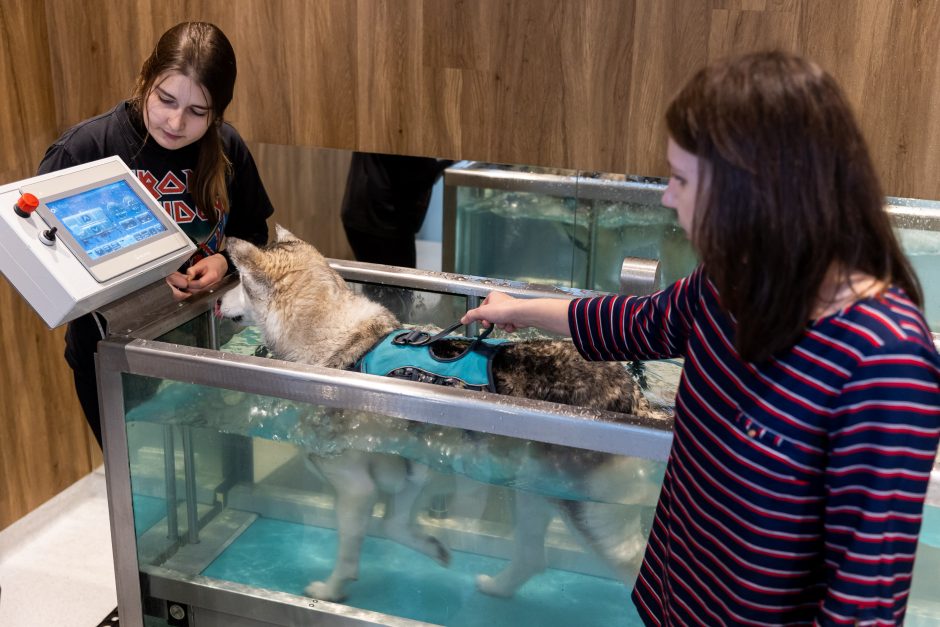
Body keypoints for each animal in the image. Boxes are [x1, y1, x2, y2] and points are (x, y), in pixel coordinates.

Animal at [217, 226, 664, 604]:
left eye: (237, 281)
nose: (218, 301)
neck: (337, 339)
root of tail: (633, 396)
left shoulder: (355, 487)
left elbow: (352, 546)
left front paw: (331, 592)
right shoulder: (415, 470)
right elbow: (392, 524)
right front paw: (434, 549)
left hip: (592, 514)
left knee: (627, 563)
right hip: (531, 492)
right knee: (532, 556)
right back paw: (497, 588)